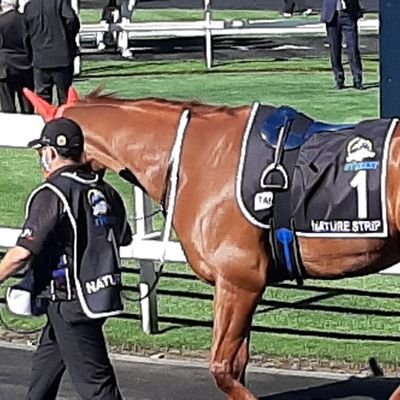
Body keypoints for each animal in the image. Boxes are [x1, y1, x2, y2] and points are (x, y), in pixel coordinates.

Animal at [24, 90, 400, 400]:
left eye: (44, 150)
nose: (47, 189)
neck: (195, 158)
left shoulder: (239, 280)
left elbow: (221, 368)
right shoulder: (241, 284)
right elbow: (236, 365)